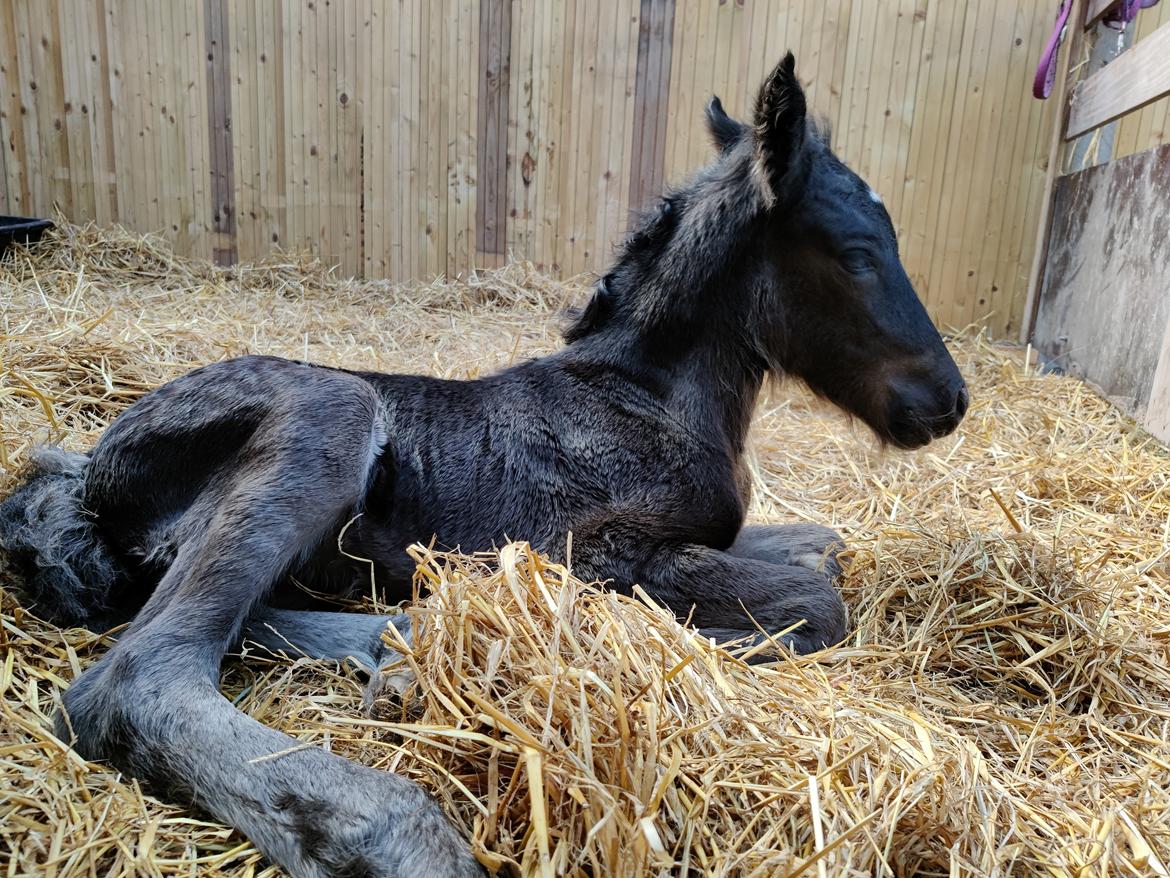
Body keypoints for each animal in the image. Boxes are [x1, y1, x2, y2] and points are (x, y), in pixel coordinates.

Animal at [0, 54, 966, 878]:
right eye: (857, 253)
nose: (949, 398)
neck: (648, 398)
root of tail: (86, 480)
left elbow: (822, 547)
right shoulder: (602, 551)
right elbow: (817, 604)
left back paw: (407, 658)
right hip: (332, 411)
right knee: (137, 675)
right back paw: (396, 821)